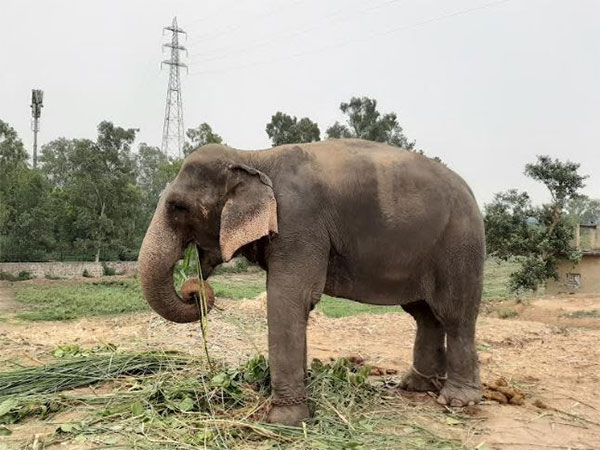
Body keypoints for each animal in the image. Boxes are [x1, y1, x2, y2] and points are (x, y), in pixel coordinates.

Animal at [138, 139, 486, 428]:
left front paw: (283, 422)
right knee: (425, 315)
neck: (252, 157)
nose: (194, 288)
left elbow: (288, 298)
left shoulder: (298, 223)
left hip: (460, 247)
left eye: (178, 207)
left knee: (455, 315)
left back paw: (457, 400)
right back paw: (416, 387)